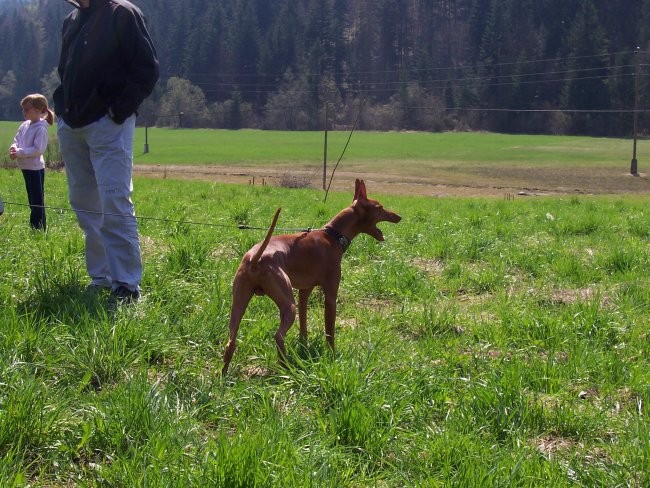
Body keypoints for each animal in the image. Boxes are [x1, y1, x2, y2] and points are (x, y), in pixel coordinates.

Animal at [220, 179, 398, 374]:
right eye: (380, 207)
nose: (399, 217)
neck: (333, 235)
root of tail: (255, 259)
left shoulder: (304, 292)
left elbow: (304, 324)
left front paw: (304, 346)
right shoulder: (330, 295)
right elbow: (330, 331)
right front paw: (332, 356)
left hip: (239, 303)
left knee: (231, 340)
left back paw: (224, 374)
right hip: (288, 306)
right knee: (278, 336)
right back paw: (286, 367)